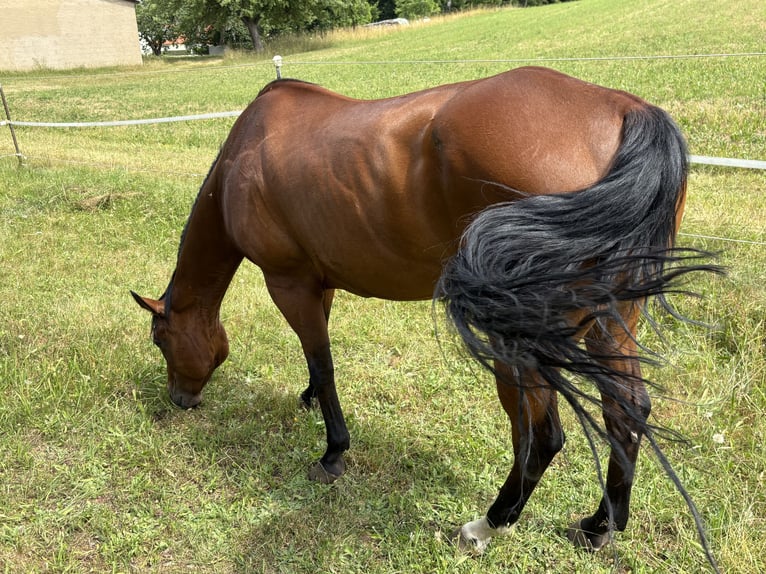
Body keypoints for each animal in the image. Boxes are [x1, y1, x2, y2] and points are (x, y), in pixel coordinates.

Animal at [132, 66, 717, 562]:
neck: (247, 153)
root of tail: (624, 109)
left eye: (161, 340)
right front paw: (307, 399)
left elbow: (322, 361)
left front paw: (333, 453)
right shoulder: (321, 283)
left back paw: (487, 526)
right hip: (613, 321)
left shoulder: (289, 282)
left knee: (542, 433)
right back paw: (599, 527)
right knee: (626, 411)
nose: (180, 400)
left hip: (519, 338)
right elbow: (317, 360)